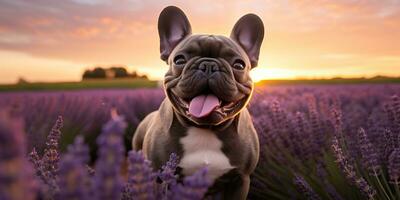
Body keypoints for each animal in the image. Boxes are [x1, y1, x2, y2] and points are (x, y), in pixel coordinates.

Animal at [134, 5, 264, 199]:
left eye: (239, 65)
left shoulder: (240, 179)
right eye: (179, 59)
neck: (205, 130)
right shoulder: (160, 177)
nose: (209, 65)